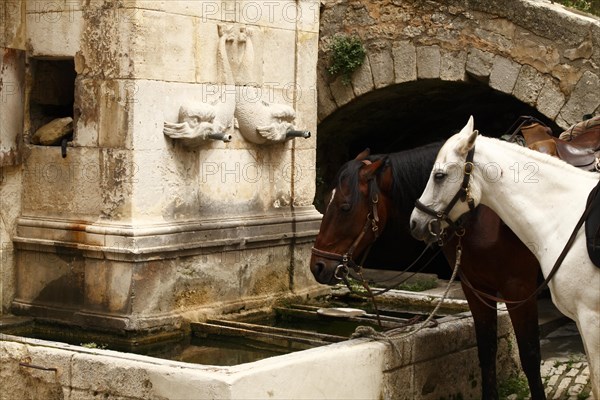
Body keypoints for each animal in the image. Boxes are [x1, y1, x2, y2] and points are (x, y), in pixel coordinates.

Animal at [312, 144, 548, 400]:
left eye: (345, 207)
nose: (317, 266)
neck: (481, 213)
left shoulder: (519, 289)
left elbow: (530, 356)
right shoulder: (476, 288)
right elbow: (486, 350)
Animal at [412, 116, 600, 396]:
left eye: (439, 175)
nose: (415, 222)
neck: (567, 213)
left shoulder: (583, 315)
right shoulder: (478, 289)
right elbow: (488, 350)